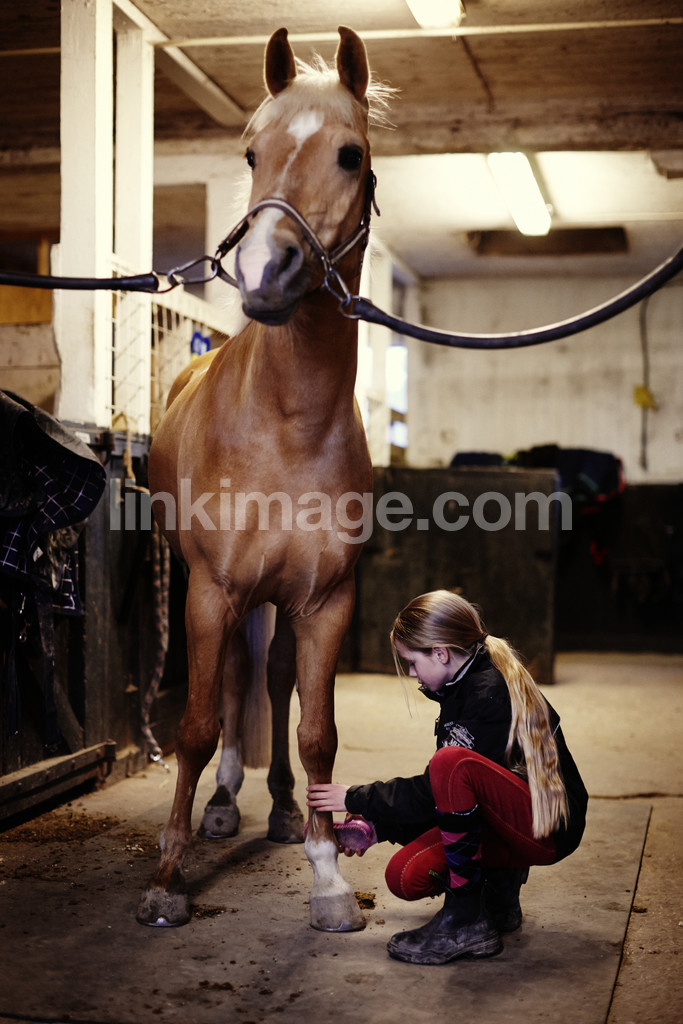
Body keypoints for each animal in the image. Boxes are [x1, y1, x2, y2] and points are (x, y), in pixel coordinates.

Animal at [136, 26, 390, 933]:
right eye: (251, 152)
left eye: (350, 153)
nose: (263, 274)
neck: (286, 422)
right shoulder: (211, 589)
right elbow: (197, 722)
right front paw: (168, 876)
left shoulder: (326, 600)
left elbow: (317, 729)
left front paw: (326, 876)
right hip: (220, 593)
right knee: (237, 680)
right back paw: (220, 805)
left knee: (270, 679)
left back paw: (277, 807)